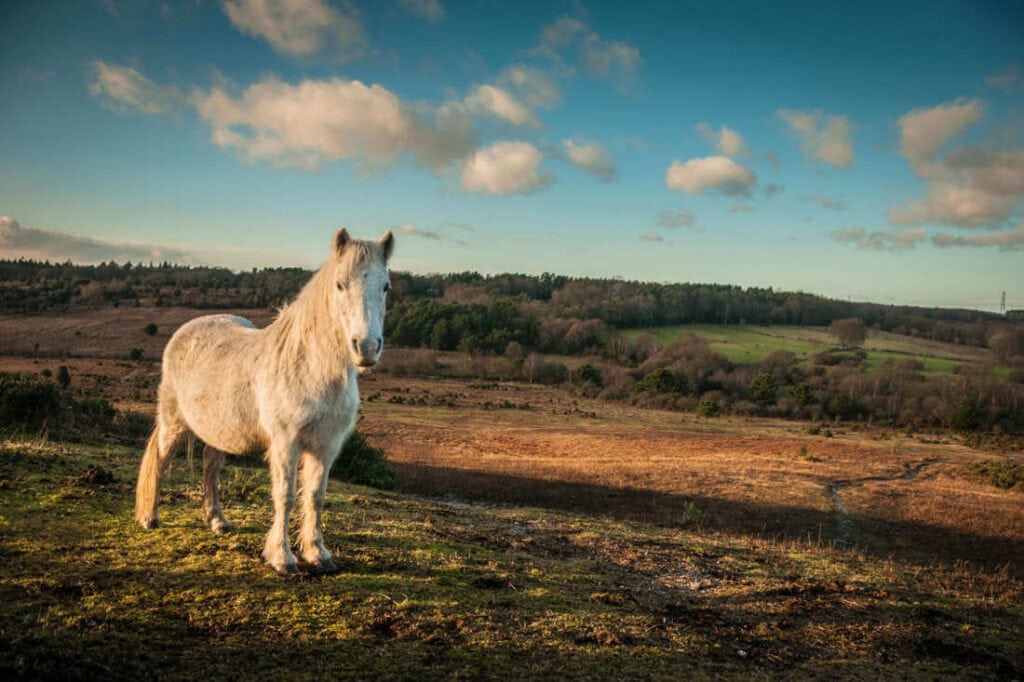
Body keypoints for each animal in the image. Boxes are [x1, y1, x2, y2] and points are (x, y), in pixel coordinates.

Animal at [135, 228, 394, 575]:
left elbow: (315, 496)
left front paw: (318, 554)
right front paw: (282, 558)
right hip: (172, 423)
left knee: (210, 467)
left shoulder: (325, 445)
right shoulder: (286, 442)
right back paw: (150, 517)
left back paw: (217, 521)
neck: (310, 367)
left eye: (385, 286)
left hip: (218, 431)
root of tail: (185, 332)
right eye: (340, 284)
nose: (366, 347)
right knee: (161, 460)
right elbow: (285, 496)